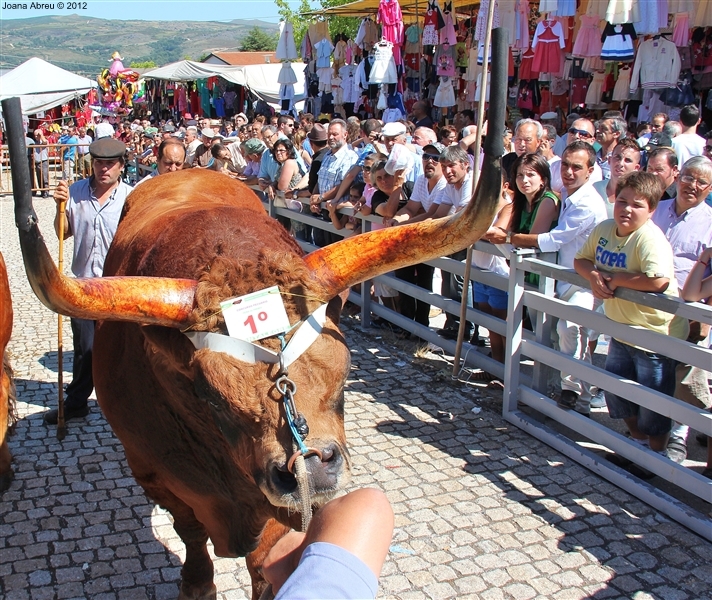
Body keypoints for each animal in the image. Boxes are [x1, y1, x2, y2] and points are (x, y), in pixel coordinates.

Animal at [4, 27, 506, 600]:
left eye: (347, 371)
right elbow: (189, 532)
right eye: (208, 395)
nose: (313, 469)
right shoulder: (155, 472)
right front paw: (197, 582)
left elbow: (267, 556)